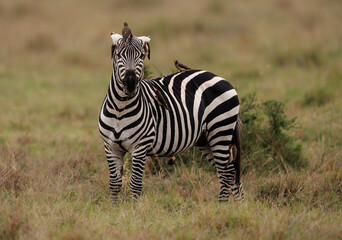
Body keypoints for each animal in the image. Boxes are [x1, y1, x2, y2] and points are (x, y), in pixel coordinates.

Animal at [98, 23, 243, 202]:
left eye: (141, 56)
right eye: (118, 55)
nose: (130, 84)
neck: (120, 109)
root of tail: (219, 77)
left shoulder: (140, 146)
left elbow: (135, 183)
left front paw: (133, 208)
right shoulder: (110, 147)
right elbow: (115, 183)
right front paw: (115, 207)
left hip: (220, 130)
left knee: (227, 172)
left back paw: (223, 205)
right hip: (205, 138)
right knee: (229, 171)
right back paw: (237, 205)